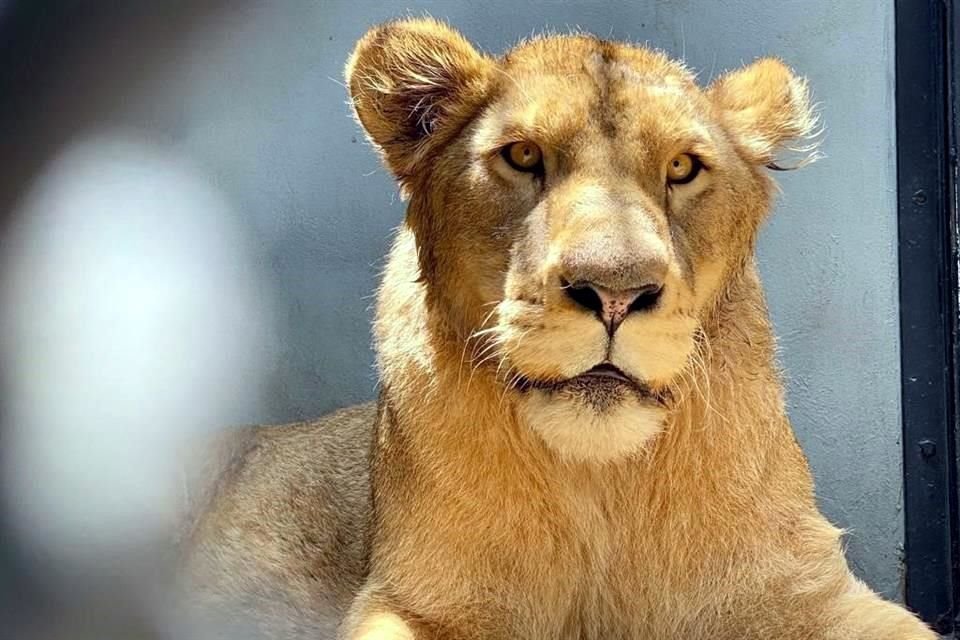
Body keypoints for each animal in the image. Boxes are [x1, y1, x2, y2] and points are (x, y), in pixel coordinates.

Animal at [177, 18, 935, 640]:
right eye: (521, 156)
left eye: (682, 167)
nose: (616, 292)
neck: (603, 484)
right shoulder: (414, 597)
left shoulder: (810, 592)